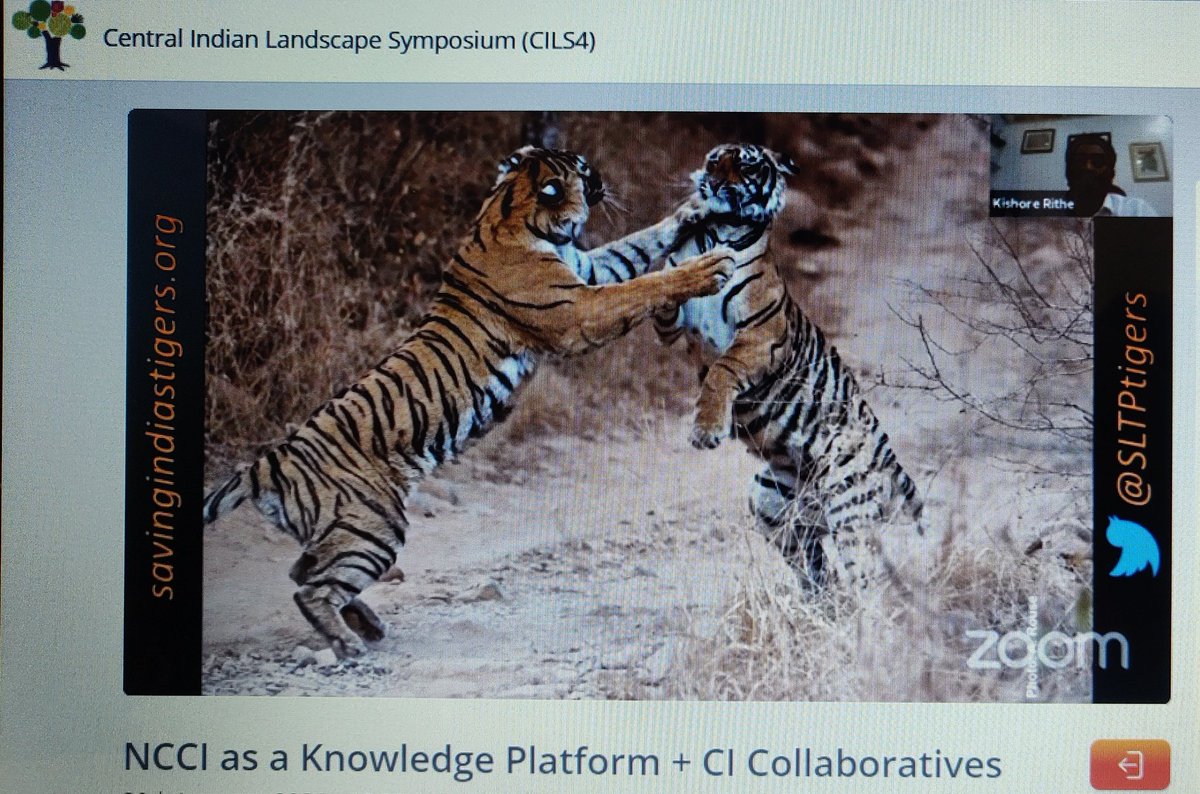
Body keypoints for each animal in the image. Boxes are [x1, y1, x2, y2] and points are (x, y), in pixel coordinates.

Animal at [203, 146, 735, 657]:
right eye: (584, 169)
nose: (603, 177)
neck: (511, 210)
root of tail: (267, 463)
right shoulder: (578, 309)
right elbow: (641, 284)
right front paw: (708, 267)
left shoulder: (588, 268)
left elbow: (639, 243)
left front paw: (693, 210)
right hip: (373, 525)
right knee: (309, 589)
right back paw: (349, 643)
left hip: (346, 532)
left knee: (303, 573)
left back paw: (368, 624)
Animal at [653, 143, 924, 586]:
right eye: (714, 160)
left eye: (745, 165)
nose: (715, 184)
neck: (718, 232)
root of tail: (891, 458)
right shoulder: (674, 325)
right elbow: (666, 294)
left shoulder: (760, 336)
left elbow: (722, 370)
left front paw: (706, 430)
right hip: (769, 501)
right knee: (818, 570)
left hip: (847, 505)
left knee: (863, 578)